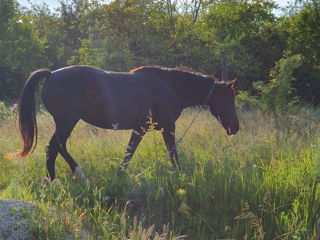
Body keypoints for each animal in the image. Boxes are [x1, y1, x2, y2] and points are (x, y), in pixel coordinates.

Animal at [8, 64, 239, 181]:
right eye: (229, 98)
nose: (235, 127)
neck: (170, 86)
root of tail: (51, 75)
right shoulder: (168, 128)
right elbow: (173, 153)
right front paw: (179, 175)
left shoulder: (140, 129)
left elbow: (128, 153)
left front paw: (119, 176)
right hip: (67, 122)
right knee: (53, 148)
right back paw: (60, 178)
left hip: (66, 123)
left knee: (58, 148)